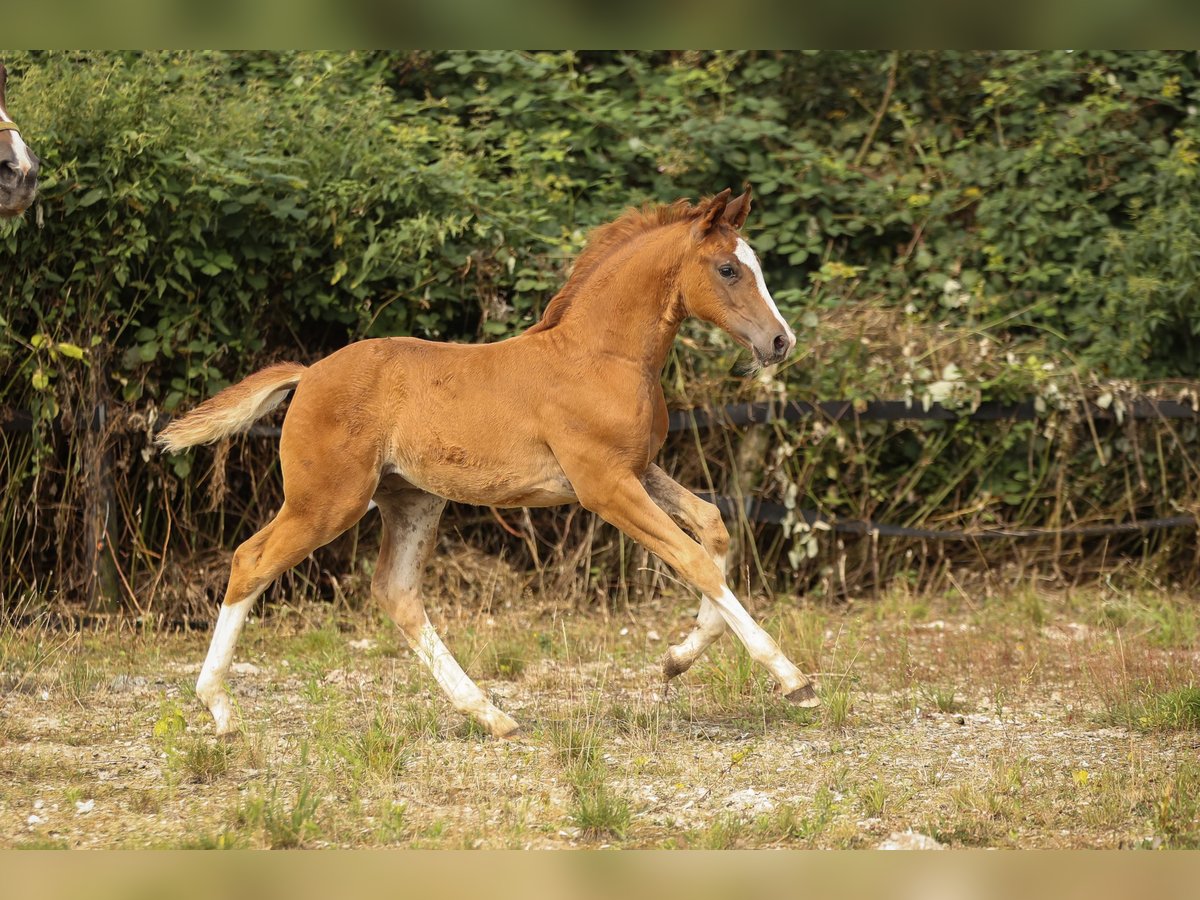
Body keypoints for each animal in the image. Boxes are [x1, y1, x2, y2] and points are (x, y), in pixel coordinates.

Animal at [159, 187, 816, 734]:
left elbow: (712, 527)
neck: (600, 354)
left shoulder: (638, 471)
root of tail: (309, 372)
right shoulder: (604, 485)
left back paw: (490, 714)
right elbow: (694, 559)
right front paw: (791, 678)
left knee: (396, 592)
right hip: (326, 501)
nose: (780, 341)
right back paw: (219, 708)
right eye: (728, 268)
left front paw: (677, 659)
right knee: (250, 561)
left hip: (412, 500)